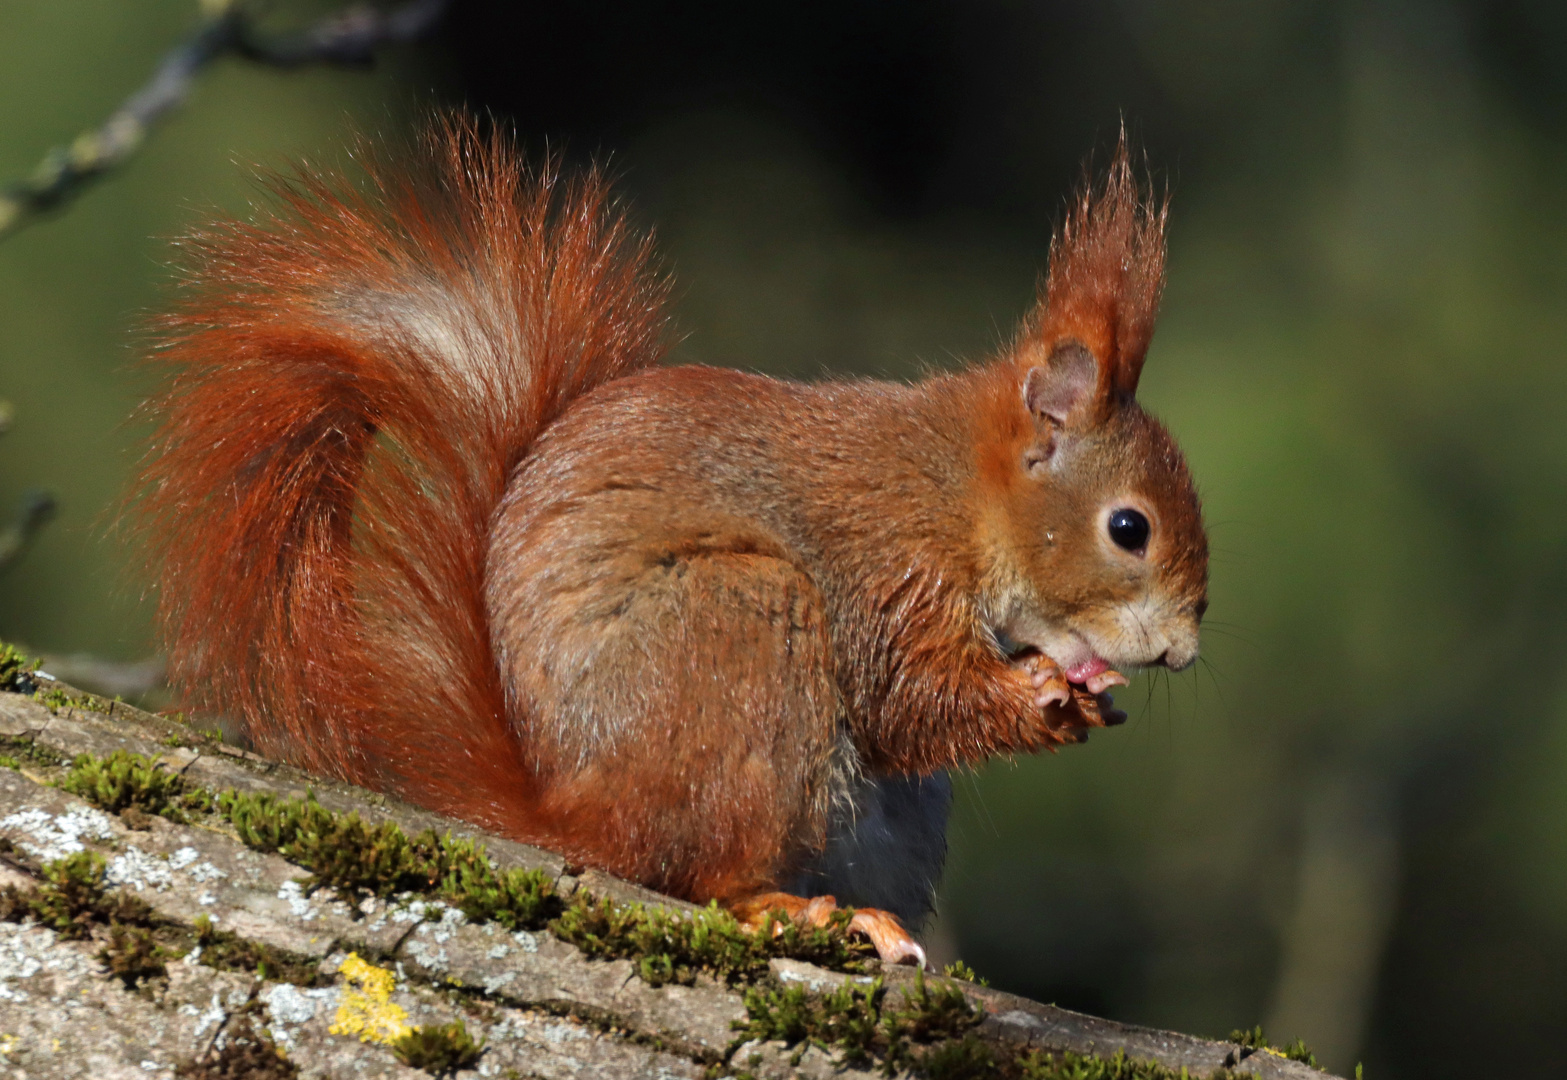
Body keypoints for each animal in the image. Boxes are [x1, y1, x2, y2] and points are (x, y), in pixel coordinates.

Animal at [137, 113, 1209, 965]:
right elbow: (906, 699)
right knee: (701, 875)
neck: (957, 493)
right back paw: (795, 910)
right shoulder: (883, 563)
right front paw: (1043, 696)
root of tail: (575, 810)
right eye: (1128, 528)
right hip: (740, 624)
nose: (1183, 653)